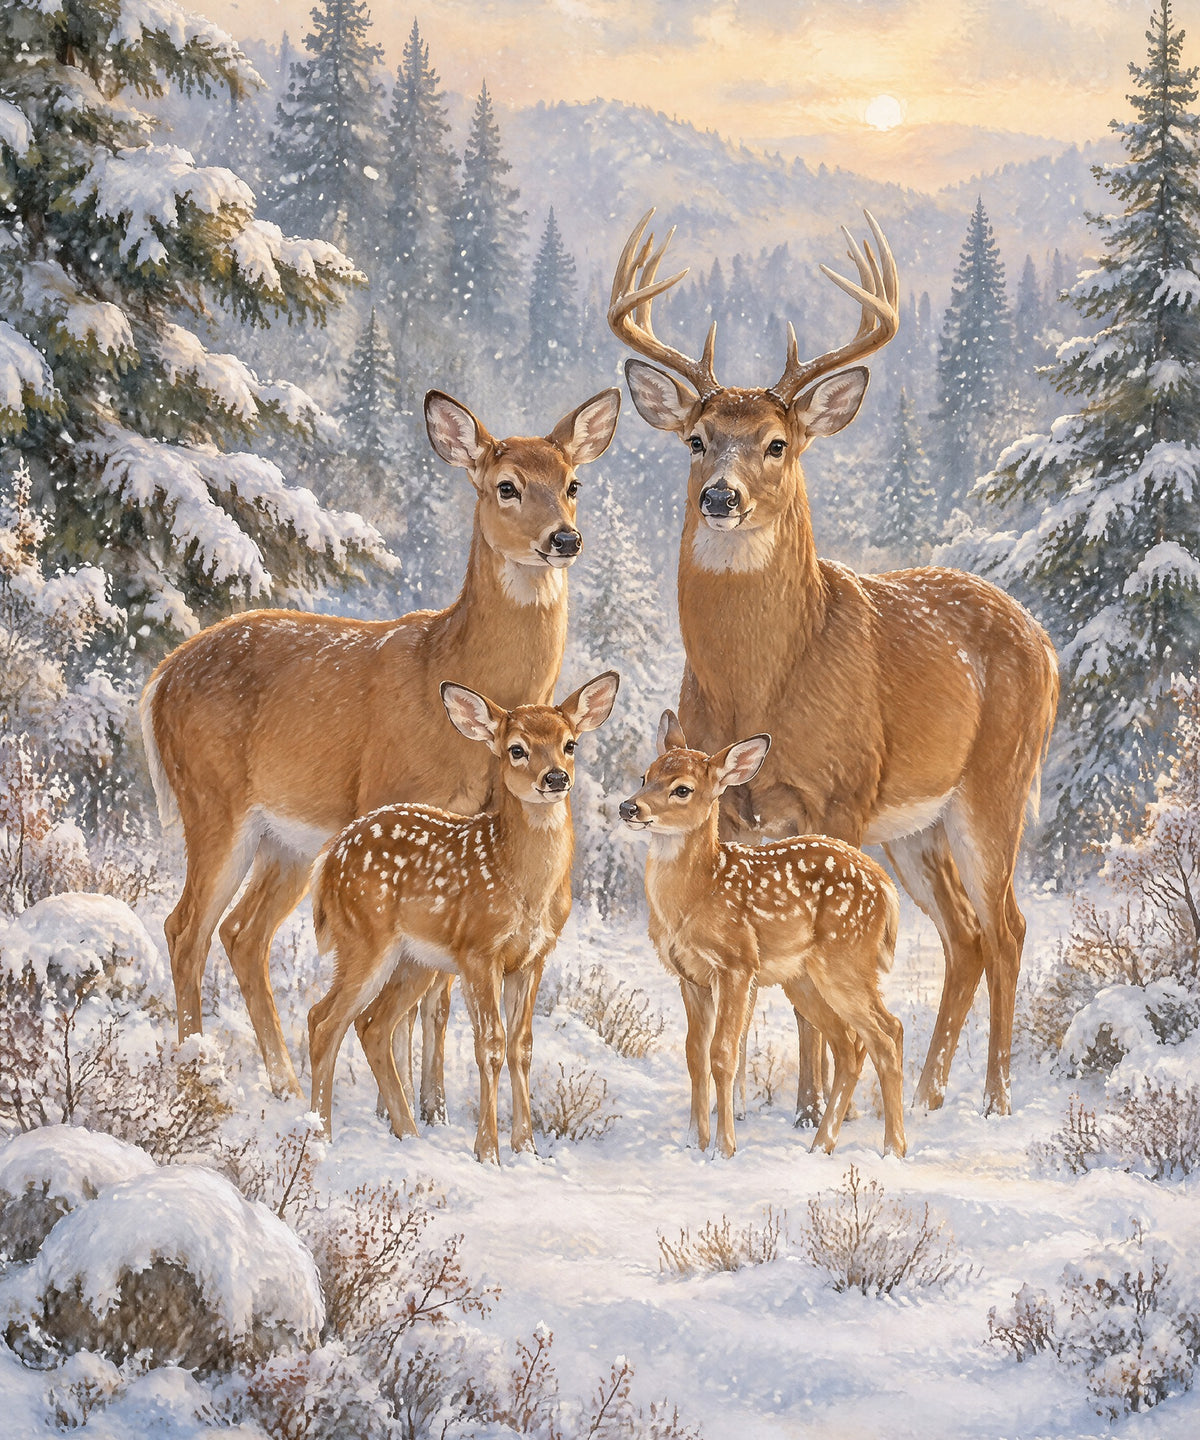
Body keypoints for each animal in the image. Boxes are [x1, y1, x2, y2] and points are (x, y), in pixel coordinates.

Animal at [140, 386, 622, 1103]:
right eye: (506, 486)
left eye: (573, 483)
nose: (563, 538)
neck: (450, 668)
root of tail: (161, 678)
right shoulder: (392, 799)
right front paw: (410, 1105)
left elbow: (439, 992)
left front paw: (434, 1106)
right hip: (212, 800)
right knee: (186, 928)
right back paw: (200, 1072)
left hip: (287, 837)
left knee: (242, 932)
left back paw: (283, 1082)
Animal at [307, 672, 620, 1160]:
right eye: (516, 749)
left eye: (570, 743)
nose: (555, 778)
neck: (523, 886)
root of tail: (328, 859)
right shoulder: (479, 951)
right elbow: (489, 1045)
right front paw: (488, 1151)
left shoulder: (534, 957)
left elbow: (522, 1046)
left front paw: (527, 1149)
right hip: (363, 938)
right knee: (324, 1020)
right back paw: (321, 1137)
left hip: (415, 960)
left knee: (372, 1024)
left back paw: (409, 1134)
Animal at [620, 712, 905, 1158]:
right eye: (645, 775)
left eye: (682, 789)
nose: (629, 806)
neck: (695, 894)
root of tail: (887, 887)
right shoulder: (689, 977)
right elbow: (694, 1055)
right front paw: (694, 1142)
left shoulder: (737, 963)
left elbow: (723, 1053)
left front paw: (724, 1149)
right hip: (804, 979)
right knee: (850, 1043)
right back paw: (820, 1146)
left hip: (846, 960)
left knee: (887, 1032)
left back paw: (892, 1148)